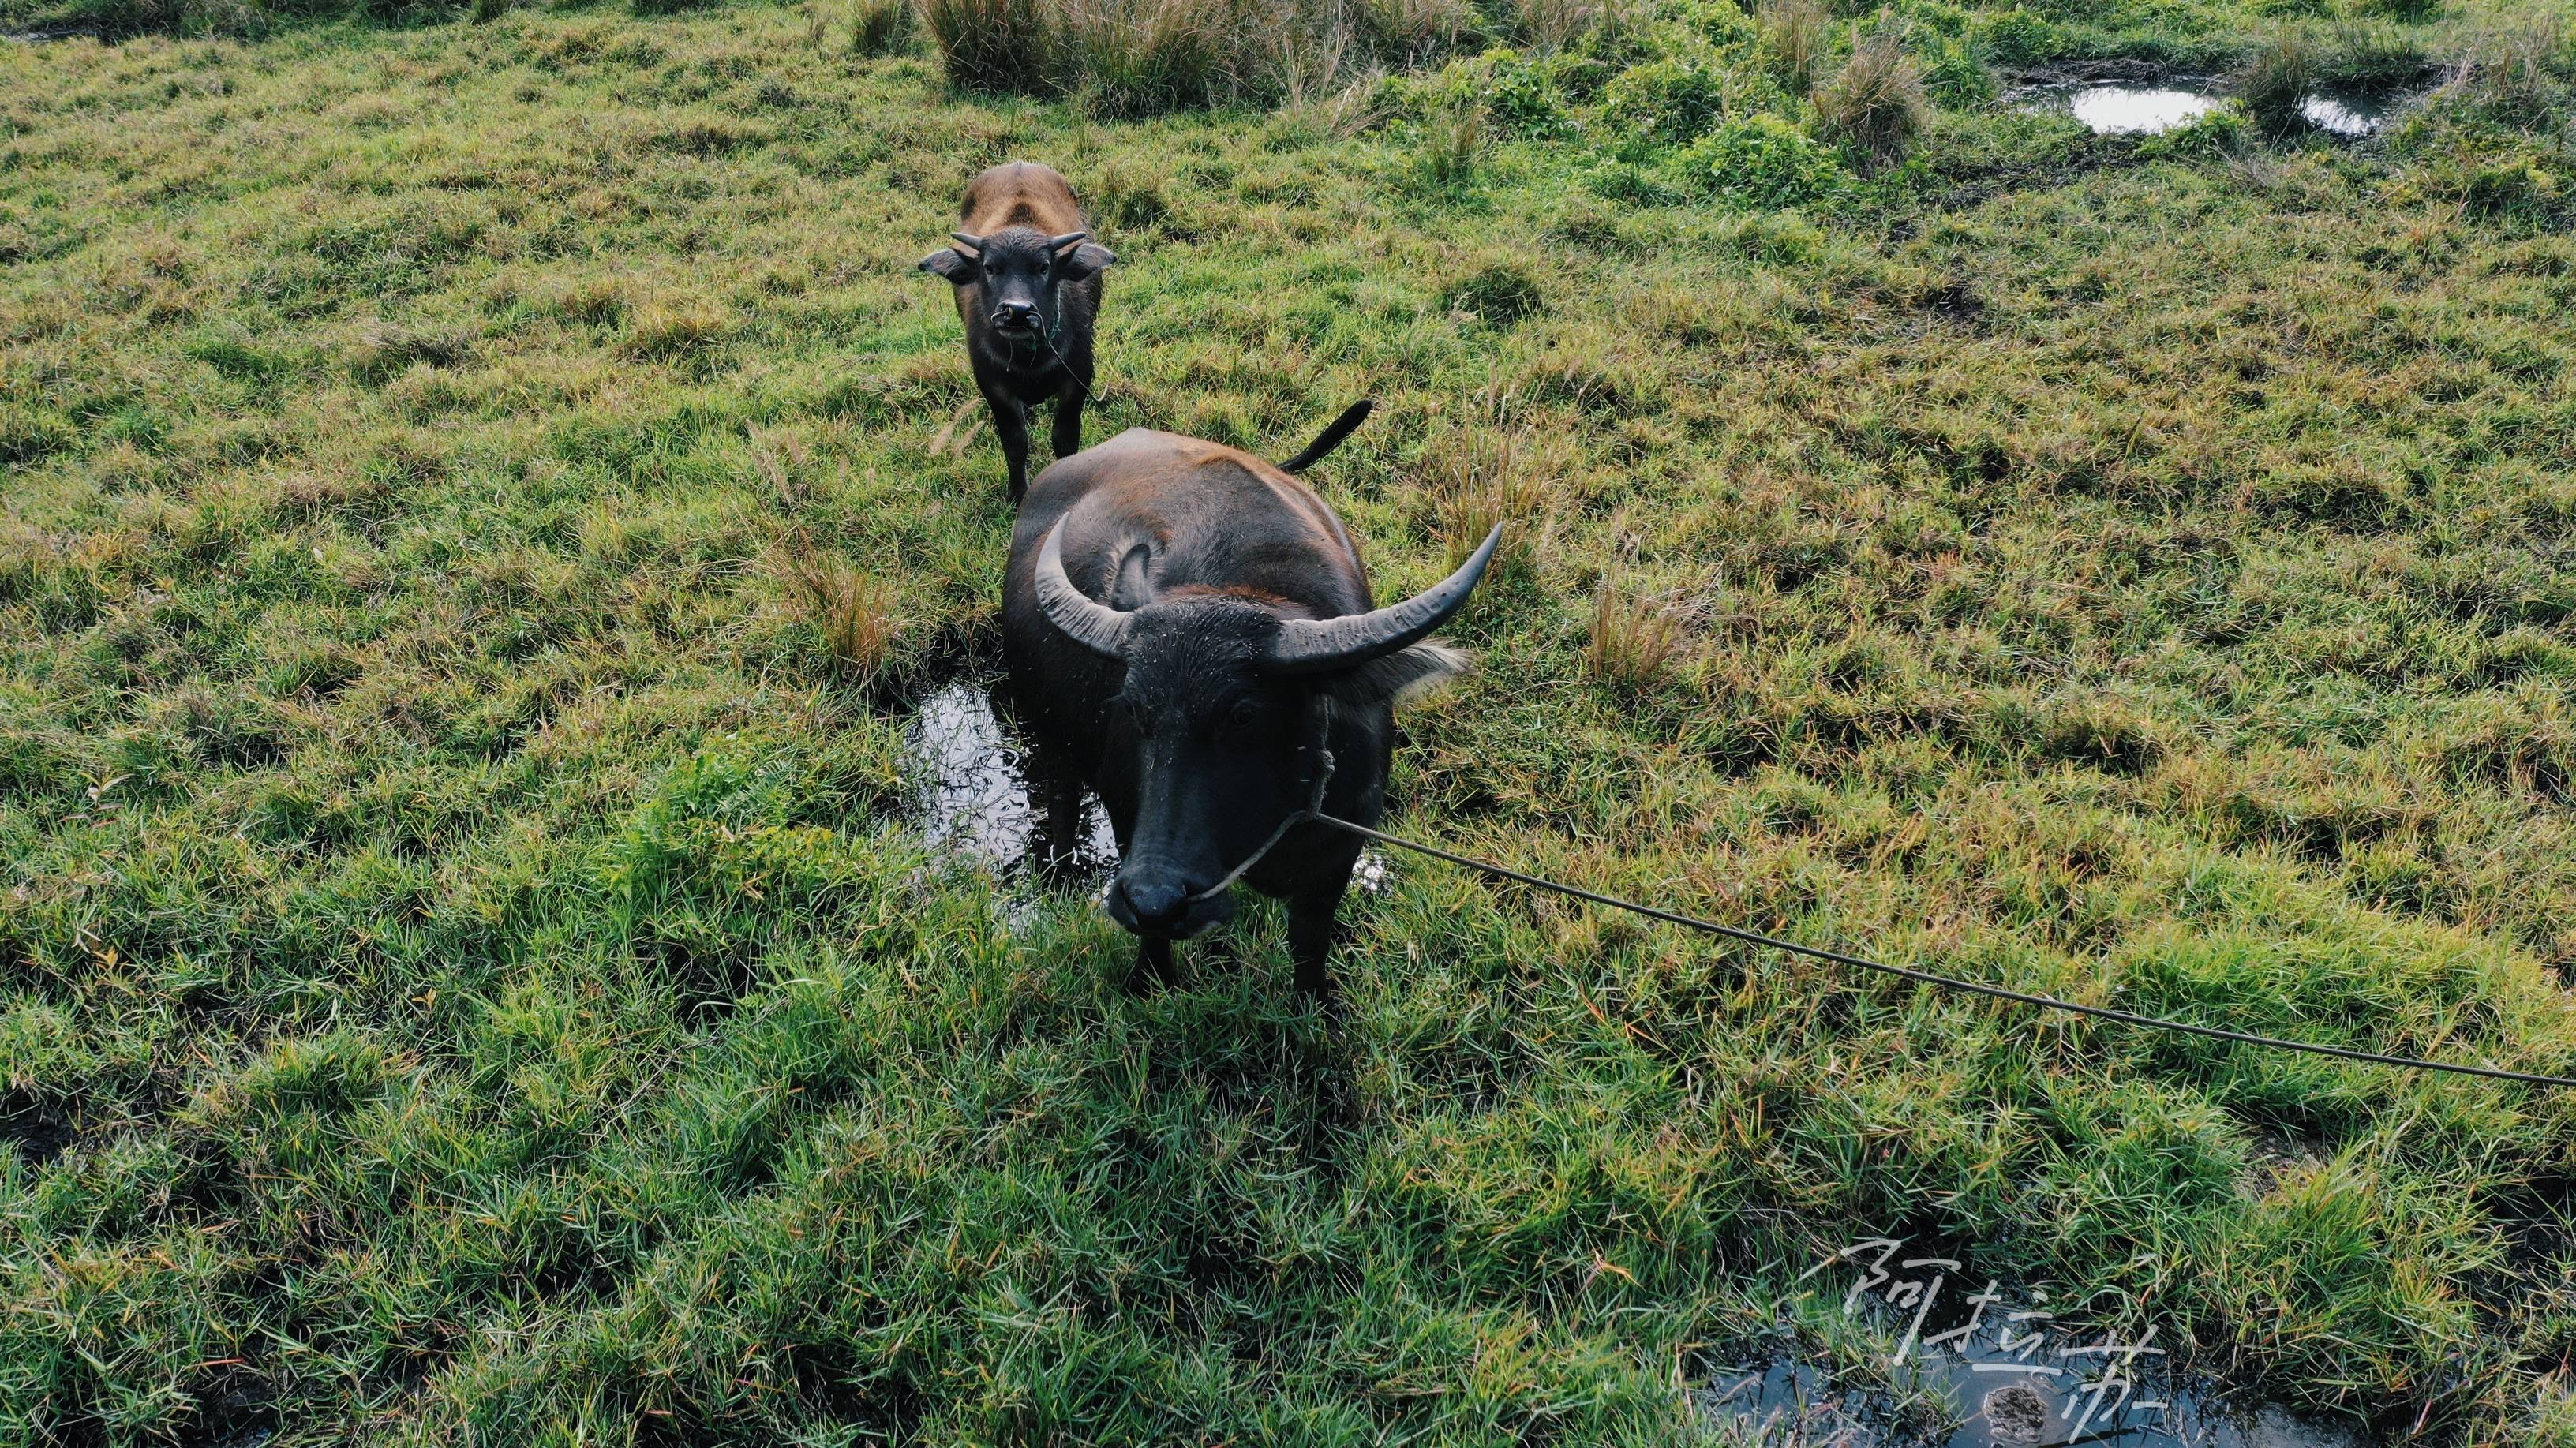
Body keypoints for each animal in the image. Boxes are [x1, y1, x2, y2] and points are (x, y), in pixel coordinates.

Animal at [922, 160, 1113, 502]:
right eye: (989, 267)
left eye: (1044, 267)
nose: (1018, 311)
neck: (1029, 359)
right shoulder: (992, 384)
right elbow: (1015, 441)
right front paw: (1017, 492)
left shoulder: (1079, 377)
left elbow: (1065, 440)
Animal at [994, 417, 1504, 989]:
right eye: (1135, 709)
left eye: (1243, 715)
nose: (1154, 898)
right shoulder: (1127, 817)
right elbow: (1153, 944)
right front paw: (1149, 981)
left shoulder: (1337, 856)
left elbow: (1310, 950)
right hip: (1048, 732)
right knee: (1061, 799)